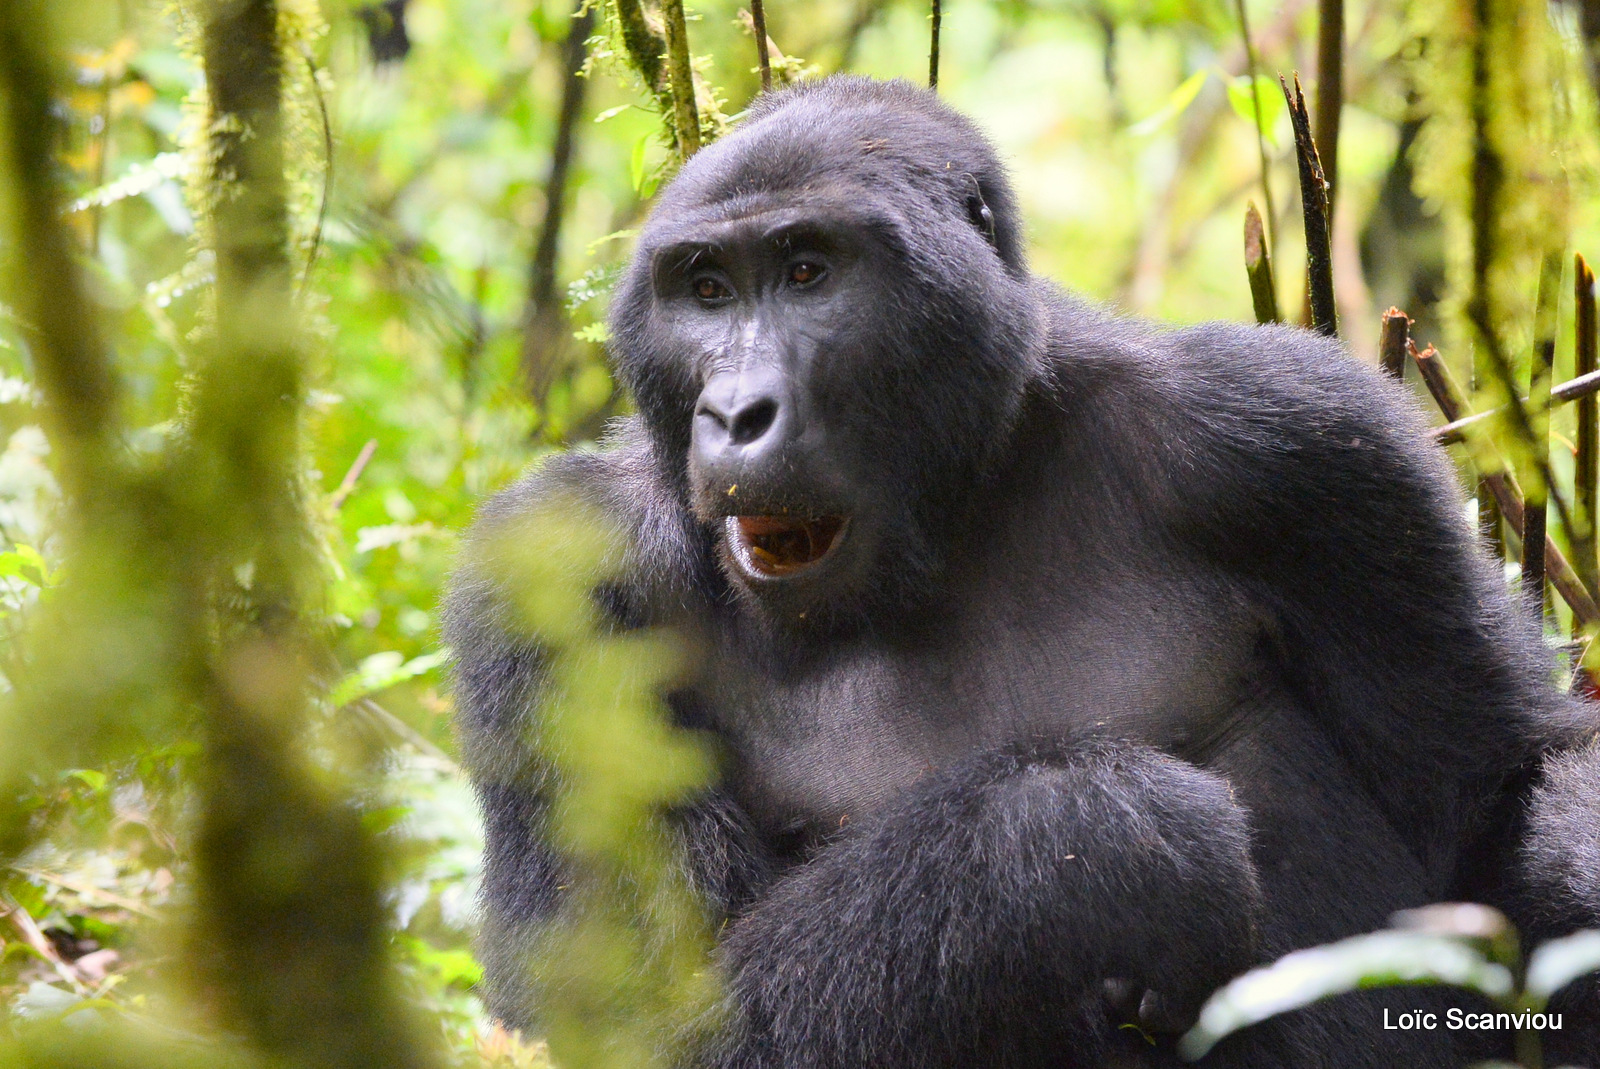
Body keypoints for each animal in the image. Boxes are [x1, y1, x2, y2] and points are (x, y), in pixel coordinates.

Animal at [444, 77, 1600, 1069]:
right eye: (707, 290)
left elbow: (1499, 788)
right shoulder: (555, 574)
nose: (735, 414)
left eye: (809, 270)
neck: (958, 499)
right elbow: (616, 1011)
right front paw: (1092, 836)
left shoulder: (1303, 437)